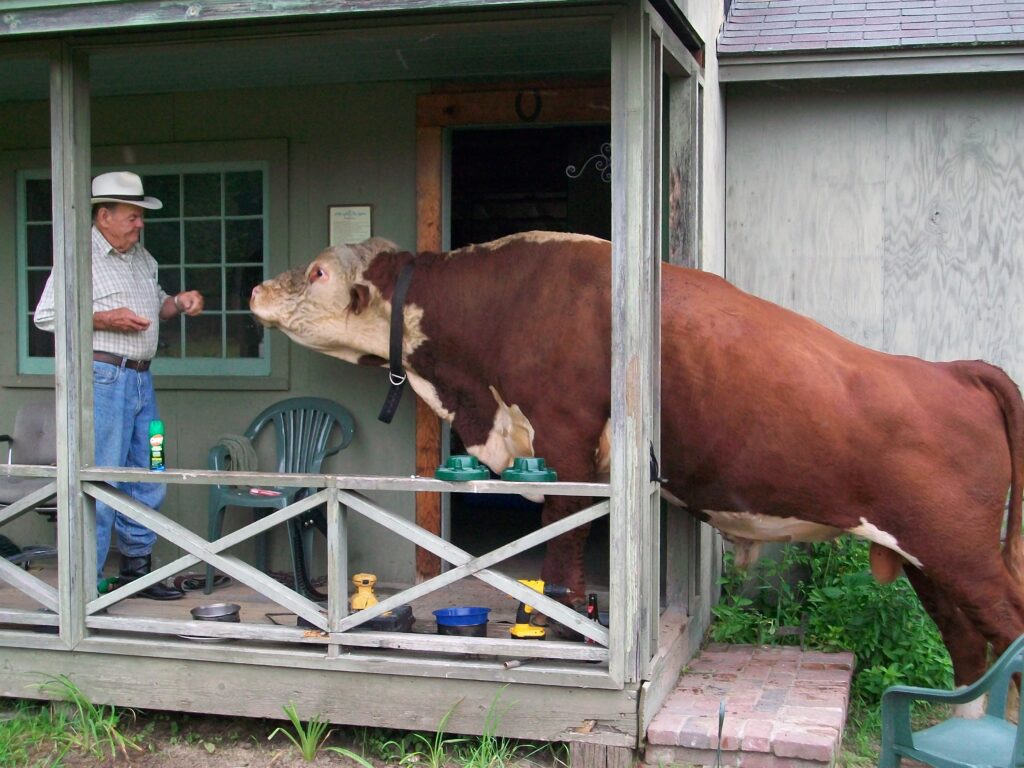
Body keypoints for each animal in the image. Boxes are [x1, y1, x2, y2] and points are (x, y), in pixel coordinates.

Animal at [249, 231, 1024, 688]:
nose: (255, 288)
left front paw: (563, 630)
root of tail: (956, 369)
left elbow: (563, 546)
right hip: (929, 559)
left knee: (1003, 630)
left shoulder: (565, 442)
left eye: (316, 271)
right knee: (969, 650)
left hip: (962, 551)